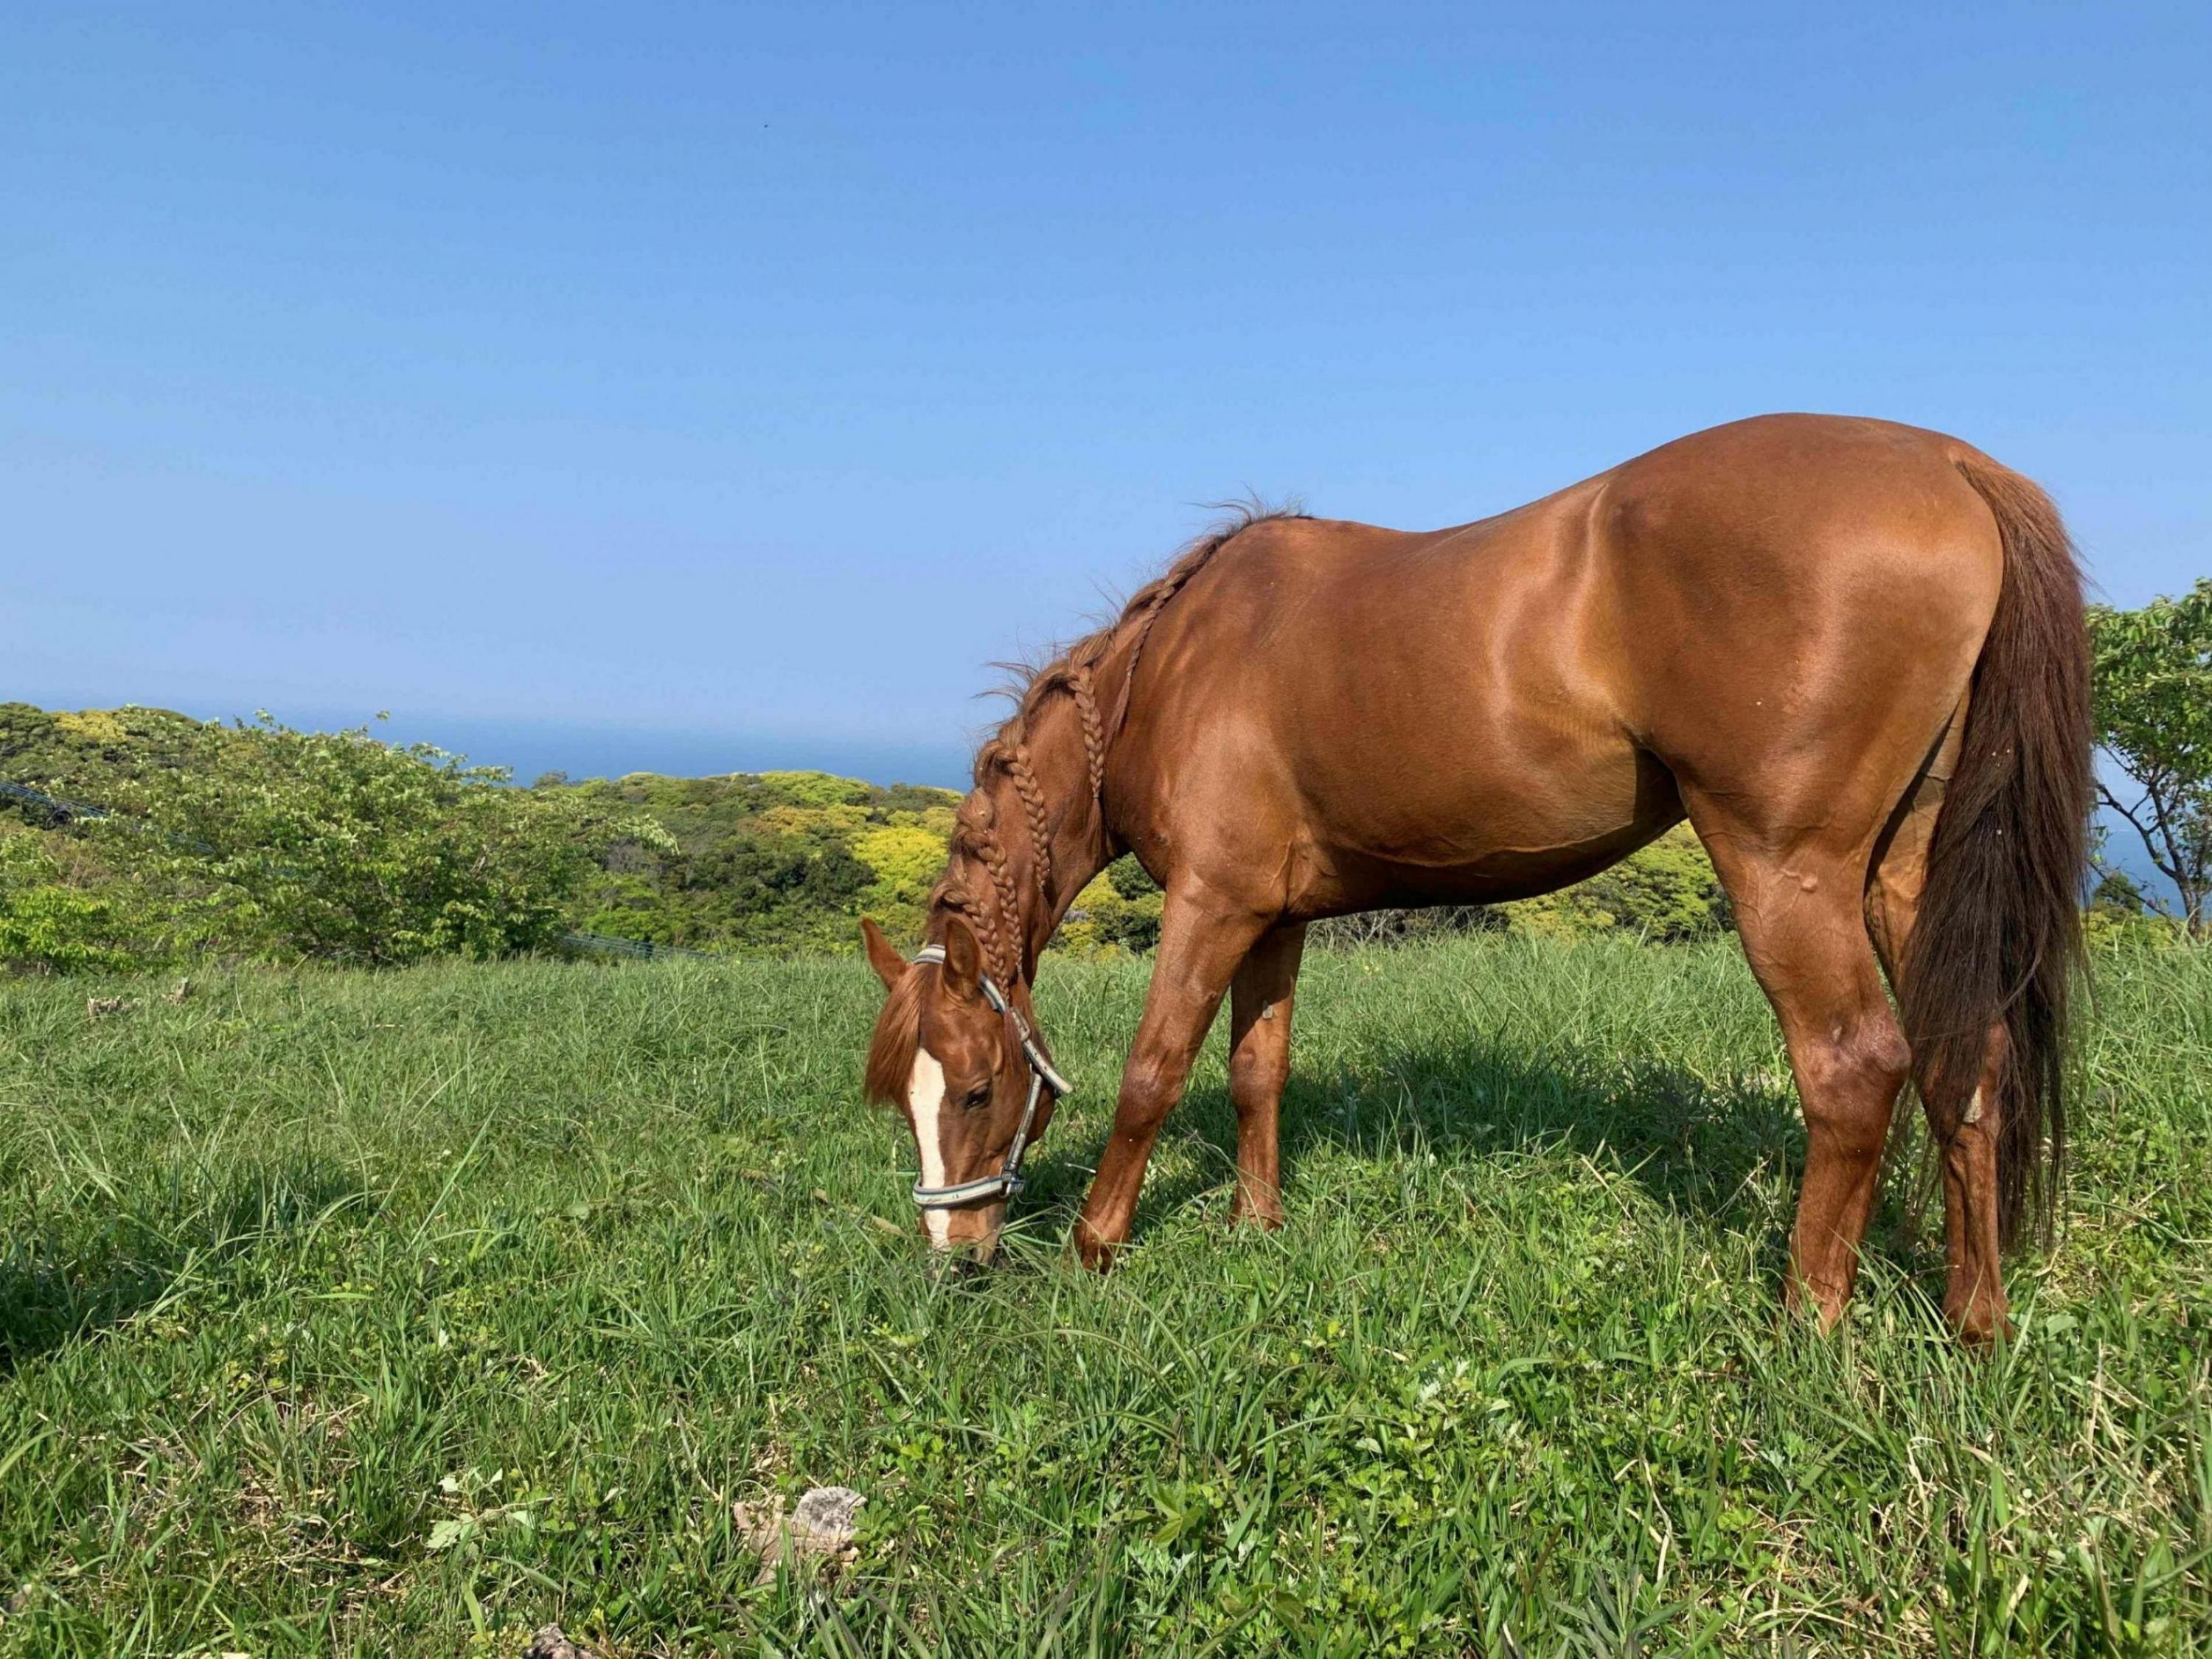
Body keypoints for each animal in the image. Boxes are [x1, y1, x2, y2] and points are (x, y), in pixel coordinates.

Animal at [860, 414, 2091, 1343]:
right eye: (903, 1097)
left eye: (977, 1089)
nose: (955, 1252)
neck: (1167, 671)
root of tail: (1948, 463)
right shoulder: (1273, 915)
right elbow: (1260, 1069)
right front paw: (1257, 1224)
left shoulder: (1211, 902)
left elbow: (1152, 1069)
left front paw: (1096, 1245)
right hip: (1904, 873)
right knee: (1964, 1060)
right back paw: (1974, 1318)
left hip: (1787, 871)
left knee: (1855, 1067)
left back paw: (1805, 1323)